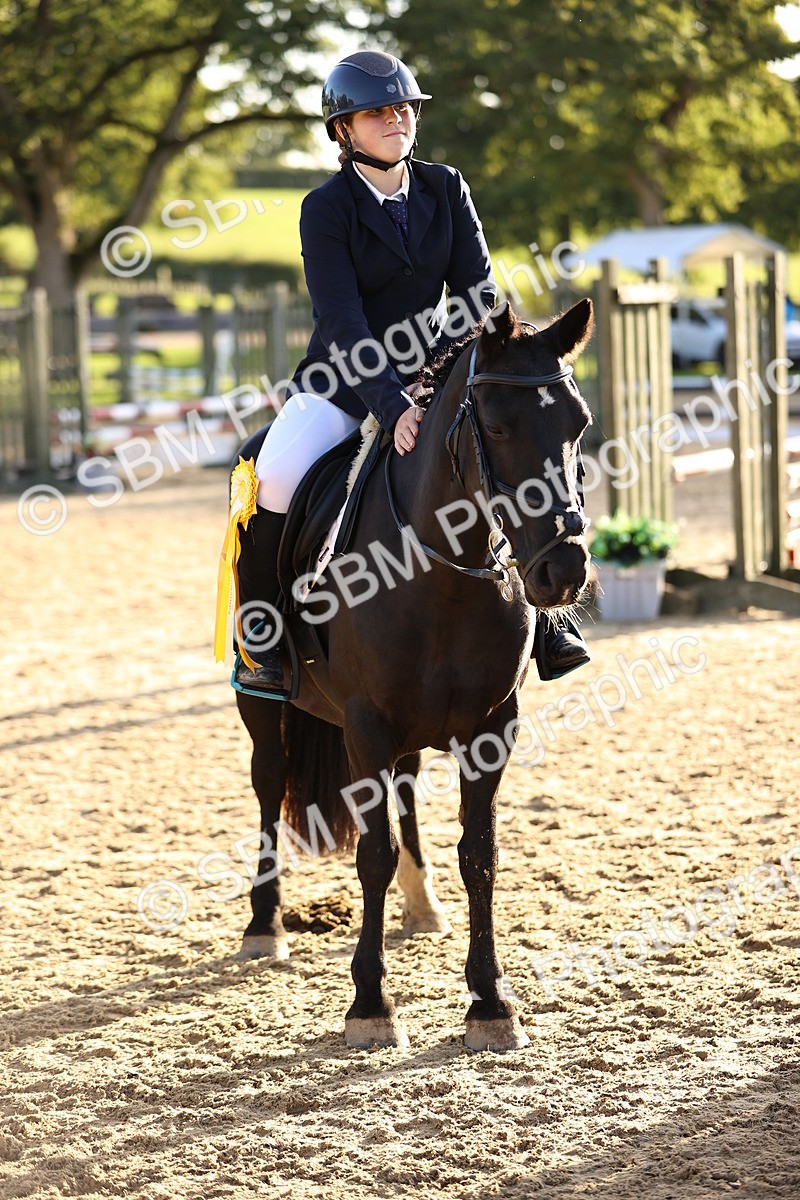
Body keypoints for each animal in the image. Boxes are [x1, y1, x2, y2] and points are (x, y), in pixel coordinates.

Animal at [234, 298, 594, 1051]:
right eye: (497, 425)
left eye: (578, 424)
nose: (564, 570)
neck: (440, 575)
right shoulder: (367, 726)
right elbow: (372, 853)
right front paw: (371, 1003)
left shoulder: (492, 727)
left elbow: (480, 854)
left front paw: (490, 1001)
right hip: (262, 703)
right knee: (269, 782)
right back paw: (264, 926)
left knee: (404, 791)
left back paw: (422, 905)